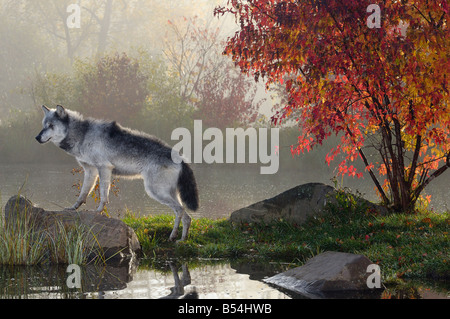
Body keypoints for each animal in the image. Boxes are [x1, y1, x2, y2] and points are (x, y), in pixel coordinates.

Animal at [37, 106, 200, 241]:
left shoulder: (104, 169)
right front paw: (73, 208)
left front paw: (98, 211)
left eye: (51, 126)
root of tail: (182, 159)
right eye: (44, 125)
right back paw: (181, 239)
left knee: (180, 211)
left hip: (156, 192)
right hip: (169, 194)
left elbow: (103, 195)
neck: (82, 135)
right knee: (187, 217)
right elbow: (83, 193)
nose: (37, 138)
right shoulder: (90, 171)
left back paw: (174, 237)